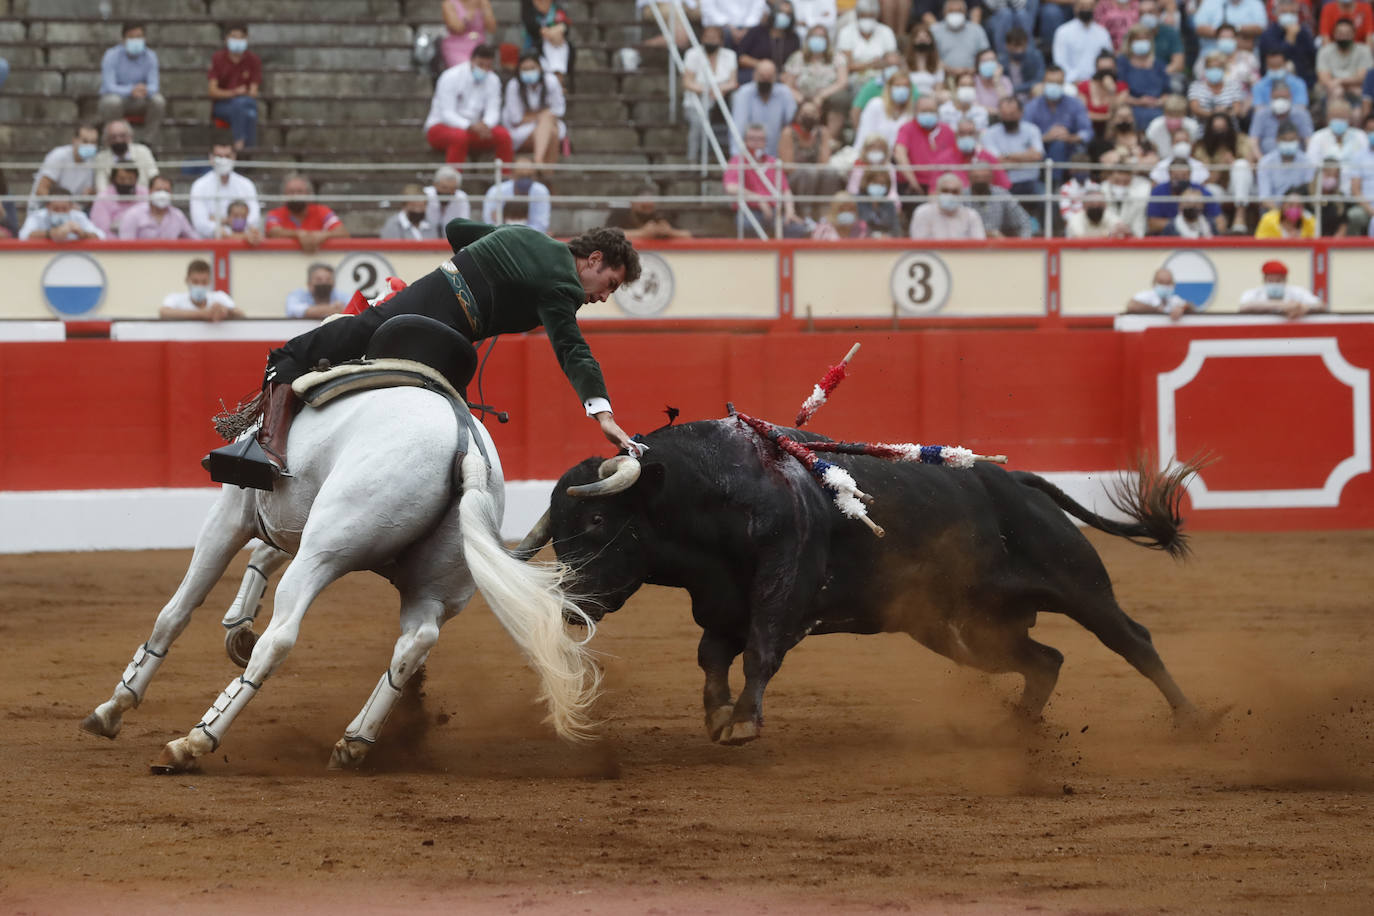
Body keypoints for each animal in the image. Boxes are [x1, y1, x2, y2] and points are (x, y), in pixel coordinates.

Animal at [79, 384, 601, 774]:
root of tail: (467, 451)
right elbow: (263, 557)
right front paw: (238, 627)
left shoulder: (231, 513)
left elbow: (177, 610)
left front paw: (113, 707)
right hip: (435, 585)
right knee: (416, 640)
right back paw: (354, 741)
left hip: (324, 549)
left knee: (281, 638)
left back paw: (193, 741)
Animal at [522, 417, 1203, 747]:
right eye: (559, 530)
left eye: (597, 520)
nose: (568, 608)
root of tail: (1018, 481)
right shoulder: (720, 604)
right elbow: (712, 655)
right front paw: (718, 714)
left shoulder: (781, 590)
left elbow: (760, 651)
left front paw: (742, 721)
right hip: (971, 628)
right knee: (1045, 659)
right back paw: (1014, 727)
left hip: (1078, 584)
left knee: (1133, 640)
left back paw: (1194, 720)